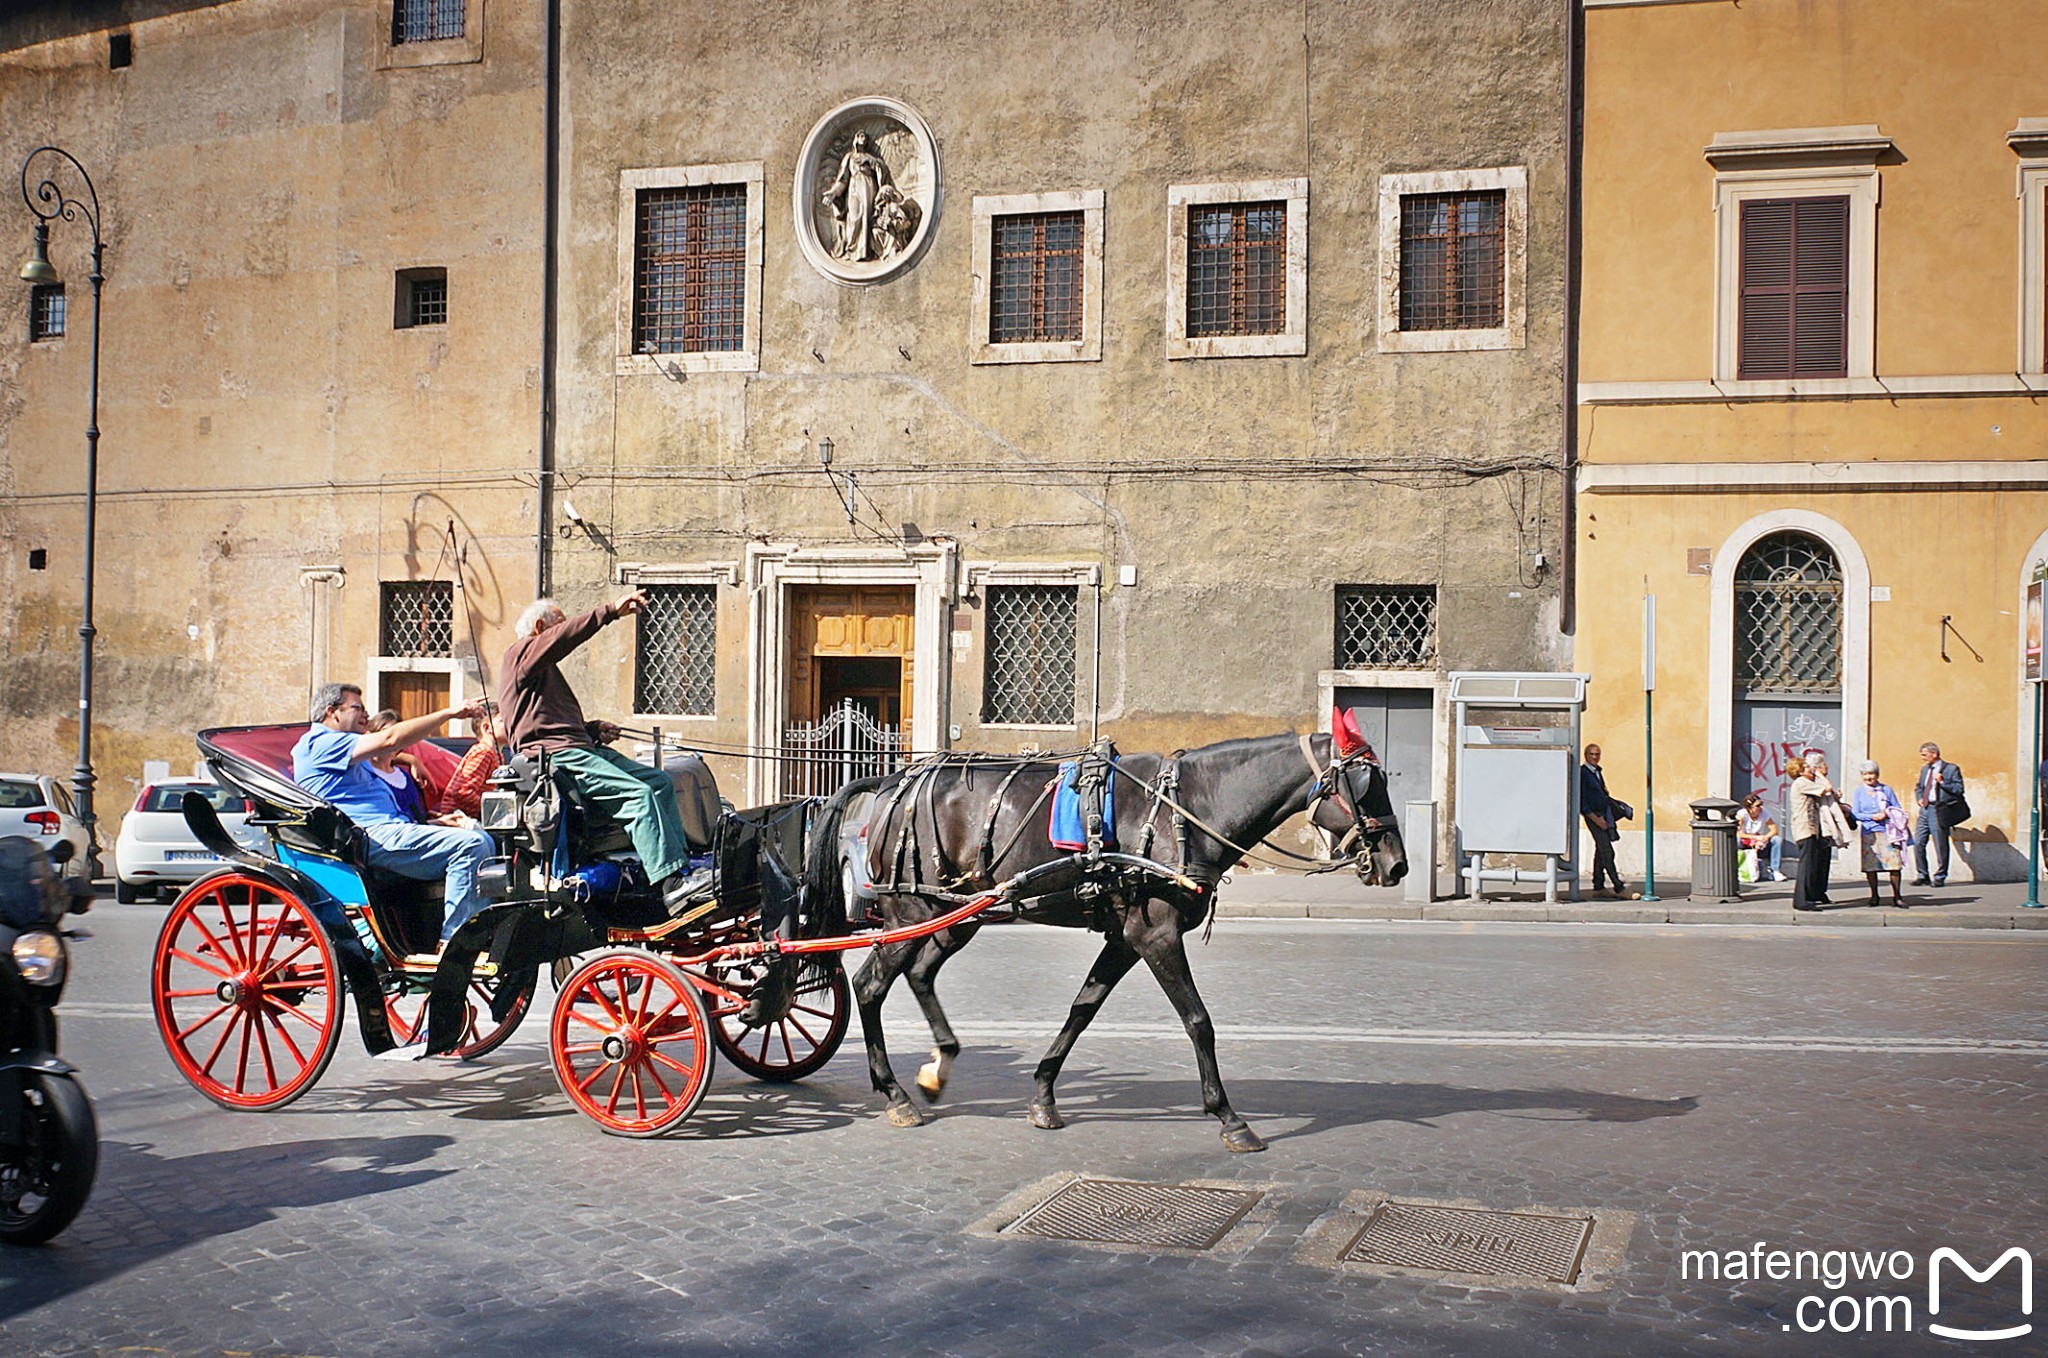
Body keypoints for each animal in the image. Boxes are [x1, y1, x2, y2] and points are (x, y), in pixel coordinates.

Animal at [802, 737, 1409, 1155]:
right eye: (1365, 787)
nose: (1397, 864)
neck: (1190, 810)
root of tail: (891, 784)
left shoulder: (1125, 939)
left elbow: (1082, 1009)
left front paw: (1043, 1095)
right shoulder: (1154, 934)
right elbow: (1198, 1021)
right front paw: (1229, 1117)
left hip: (957, 912)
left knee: (919, 974)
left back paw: (938, 1064)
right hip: (913, 910)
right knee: (870, 985)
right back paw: (895, 1093)